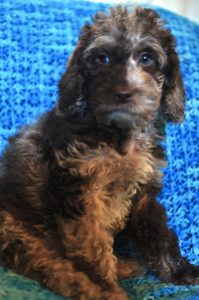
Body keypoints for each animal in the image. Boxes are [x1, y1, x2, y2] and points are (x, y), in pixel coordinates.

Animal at [0, 5, 198, 298]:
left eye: (147, 58)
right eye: (102, 59)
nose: (123, 93)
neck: (119, 136)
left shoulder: (144, 191)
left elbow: (160, 234)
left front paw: (181, 273)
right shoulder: (80, 192)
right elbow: (91, 246)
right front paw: (104, 285)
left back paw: (123, 267)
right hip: (15, 228)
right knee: (50, 265)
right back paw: (94, 288)